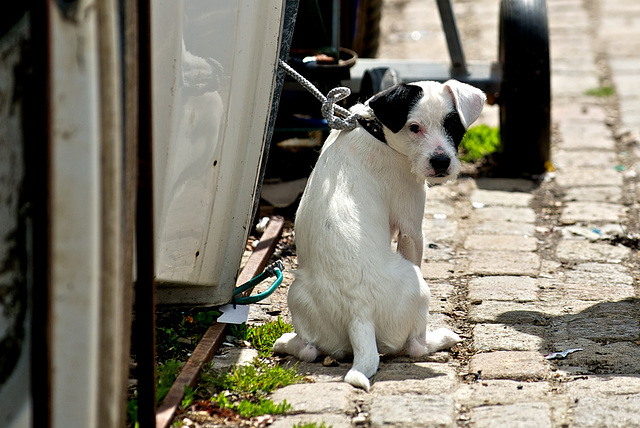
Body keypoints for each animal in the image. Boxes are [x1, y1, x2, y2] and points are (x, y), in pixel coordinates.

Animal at [272, 78, 488, 390]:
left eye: (453, 126)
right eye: (414, 127)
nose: (441, 162)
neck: (377, 130)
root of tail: (358, 316)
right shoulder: (411, 227)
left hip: (297, 296)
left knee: (309, 349)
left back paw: (285, 342)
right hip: (417, 285)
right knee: (416, 346)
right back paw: (441, 338)